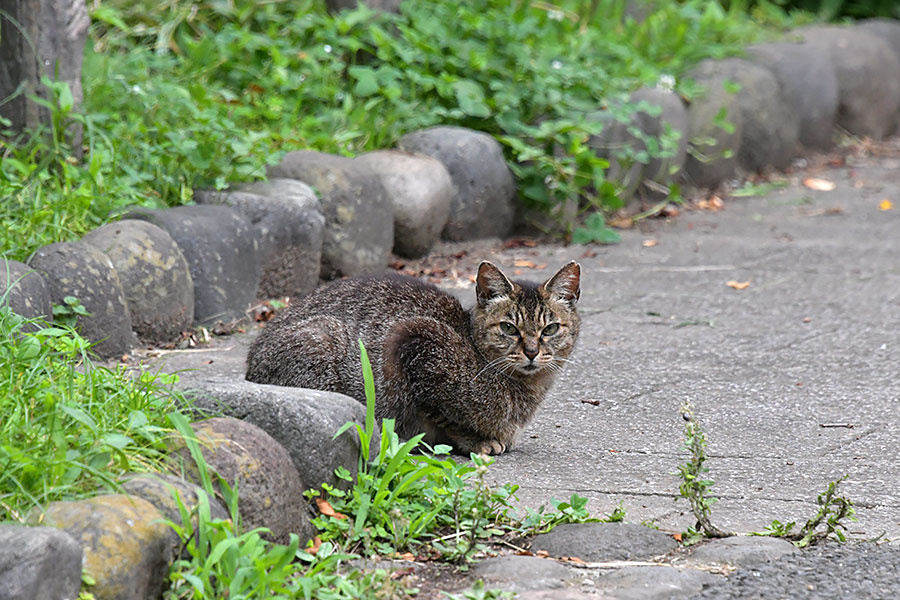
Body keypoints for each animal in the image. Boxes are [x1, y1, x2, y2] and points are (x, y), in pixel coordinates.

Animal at [246, 262, 580, 454]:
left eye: (550, 328)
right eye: (509, 328)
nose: (532, 352)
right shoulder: (413, 342)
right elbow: (444, 414)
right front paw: (477, 441)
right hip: (323, 339)